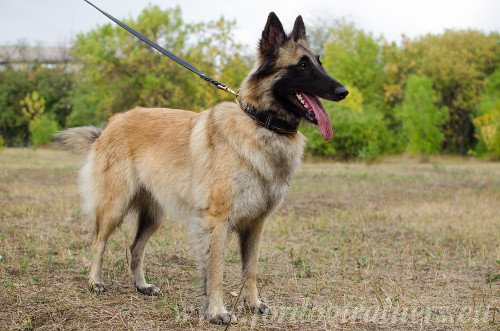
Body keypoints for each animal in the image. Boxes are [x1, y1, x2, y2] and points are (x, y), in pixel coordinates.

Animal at [51, 12, 348, 324]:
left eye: (318, 61)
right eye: (302, 65)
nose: (344, 91)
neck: (260, 123)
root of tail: (110, 125)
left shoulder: (255, 224)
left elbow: (250, 270)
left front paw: (253, 304)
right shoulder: (217, 222)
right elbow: (216, 271)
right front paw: (217, 311)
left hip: (154, 215)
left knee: (134, 248)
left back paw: (141, 286)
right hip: (115, 206)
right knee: (99, 241)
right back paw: (95, 282)